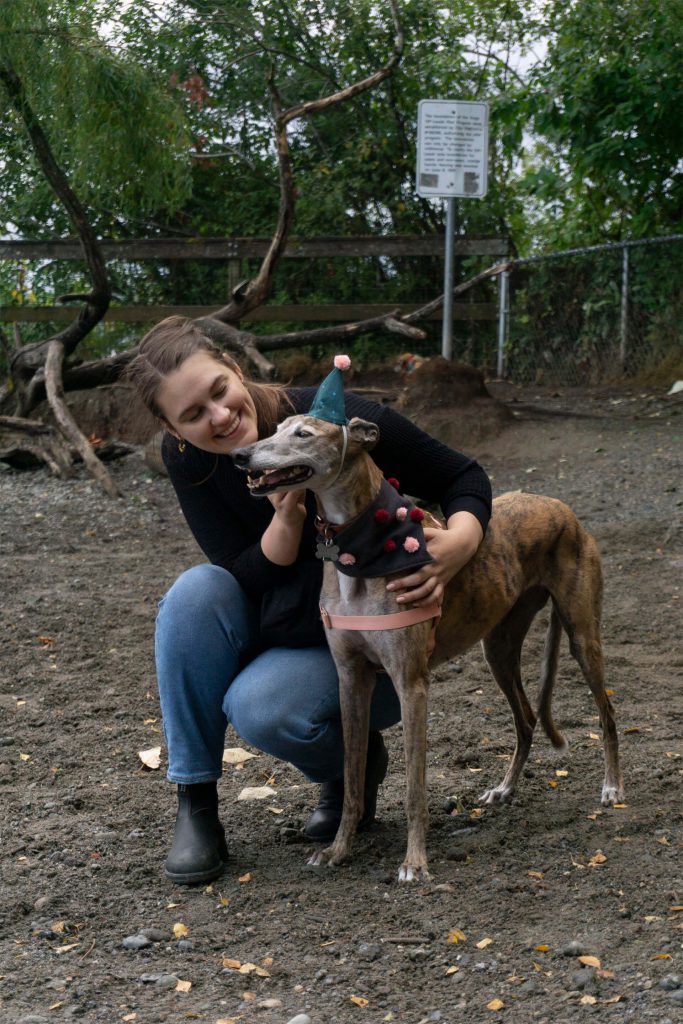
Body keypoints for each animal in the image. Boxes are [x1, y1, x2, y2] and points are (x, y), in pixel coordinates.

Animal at [235, 413, 626, 880]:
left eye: (303, 434)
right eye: (276, 428)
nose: (240, 455)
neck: (361, 556)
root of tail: (559, 506)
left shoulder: (412, 684)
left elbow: (414, 789)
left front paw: (414, 863)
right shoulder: (351, 679)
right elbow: (351, 780)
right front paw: (337, 850)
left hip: (583, 635)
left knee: (607, 713)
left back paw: (612, 787)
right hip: (497, 649)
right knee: (527, 719)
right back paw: (504, 789)